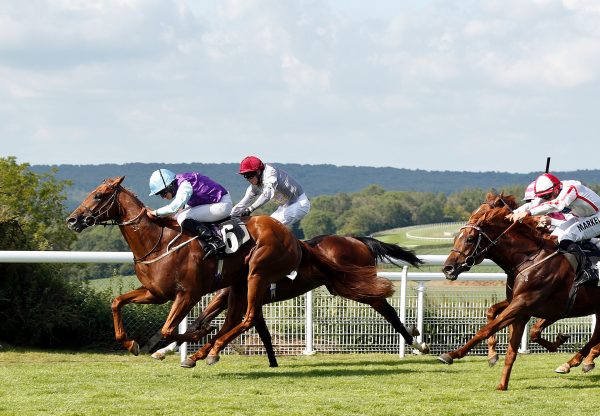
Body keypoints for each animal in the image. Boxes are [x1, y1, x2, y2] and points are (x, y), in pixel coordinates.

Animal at [67, 177, 394, 366]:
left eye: (99, 196)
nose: (72, 219)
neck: (157, 241)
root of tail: (297, 242)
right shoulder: (156, 292)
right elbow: (117, 302)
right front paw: (132, 343)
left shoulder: (188, 293)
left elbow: (174, 327)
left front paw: (192, 338)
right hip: (241, 284)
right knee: (241, 319)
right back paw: (204, 353)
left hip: (257, 275)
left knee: (247, 318)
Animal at [152, 236, 428, 366]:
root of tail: (359, 240)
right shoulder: (233, 297)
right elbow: (204, 321)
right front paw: (165, 350)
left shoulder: (235, 297)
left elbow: (217, 325)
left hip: (353, 286)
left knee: (388, 310)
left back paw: (418, 343)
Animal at [438, 194, 600, 390]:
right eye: (456, 237)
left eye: (469, 239)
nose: (448, 268)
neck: (529, 258)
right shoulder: (521, 306)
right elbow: (505, 333)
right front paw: (500, 379)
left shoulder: (524, 304)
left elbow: (486, 329)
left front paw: (452, 354)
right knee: (597, 335)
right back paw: (576, 362)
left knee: (596, 336)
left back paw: (577, 361)